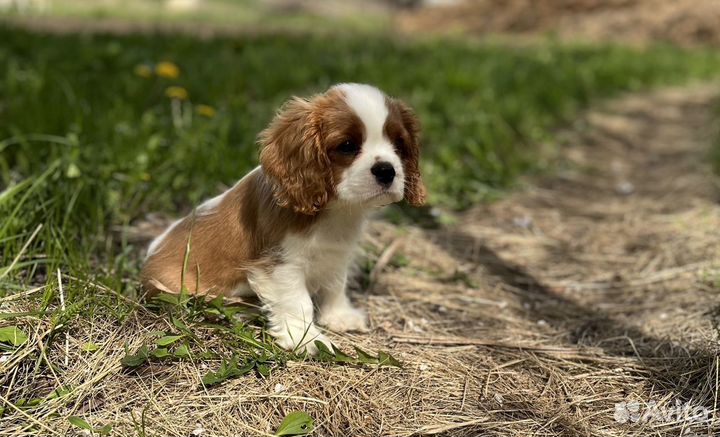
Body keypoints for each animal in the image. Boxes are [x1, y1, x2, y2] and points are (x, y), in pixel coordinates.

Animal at [141, 83, 424, 352]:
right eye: (347, 146)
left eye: (399, 145)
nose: (386, 171)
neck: (336, 210)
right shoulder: (281, 263)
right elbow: (297, 302)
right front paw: (305, 338)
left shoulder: (338, 254)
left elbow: (335, 284)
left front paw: (339, 316)